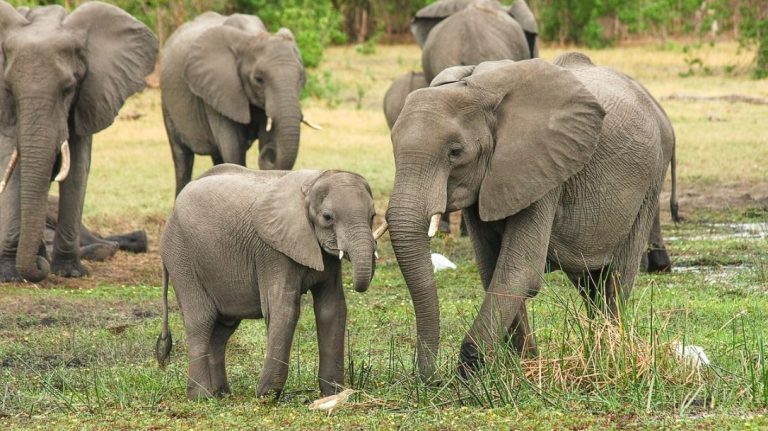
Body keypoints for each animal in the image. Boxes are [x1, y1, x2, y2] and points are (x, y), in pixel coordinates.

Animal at [0, 2, 158, 282]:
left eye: (68, 89)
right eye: (9, 89)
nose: (39, 266)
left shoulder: (89, 95)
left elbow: (77, 168)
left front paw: (70, 272)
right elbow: (11, 165)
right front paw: (9, 275)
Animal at [156, 164, 378, 399]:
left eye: (373, 216)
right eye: (327, 217)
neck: (312, 183)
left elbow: (332, 309)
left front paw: (334, 393)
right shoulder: (273, 251)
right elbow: (284, 309)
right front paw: (266, 395)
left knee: (223, 328)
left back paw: (222, 394)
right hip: (181, 256)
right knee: (201, 320)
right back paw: (201, 397)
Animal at [161, 12, 314, 197]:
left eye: (301, 78)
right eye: (258, 79)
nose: (269, 153)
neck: (252, 36)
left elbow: (265, 137)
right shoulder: (218, 90)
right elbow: (233, 149)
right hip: (167, 103)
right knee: (182, 158)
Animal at [378, 53, 675, 380]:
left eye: (455, 152)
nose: (431, 378)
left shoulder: (543, 169)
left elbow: (519, 271)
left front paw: (471, 369)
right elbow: (492, 269)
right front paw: (524, 364)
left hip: (650, 181)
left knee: (616, 277)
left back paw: (609, 355)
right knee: (589, 283)